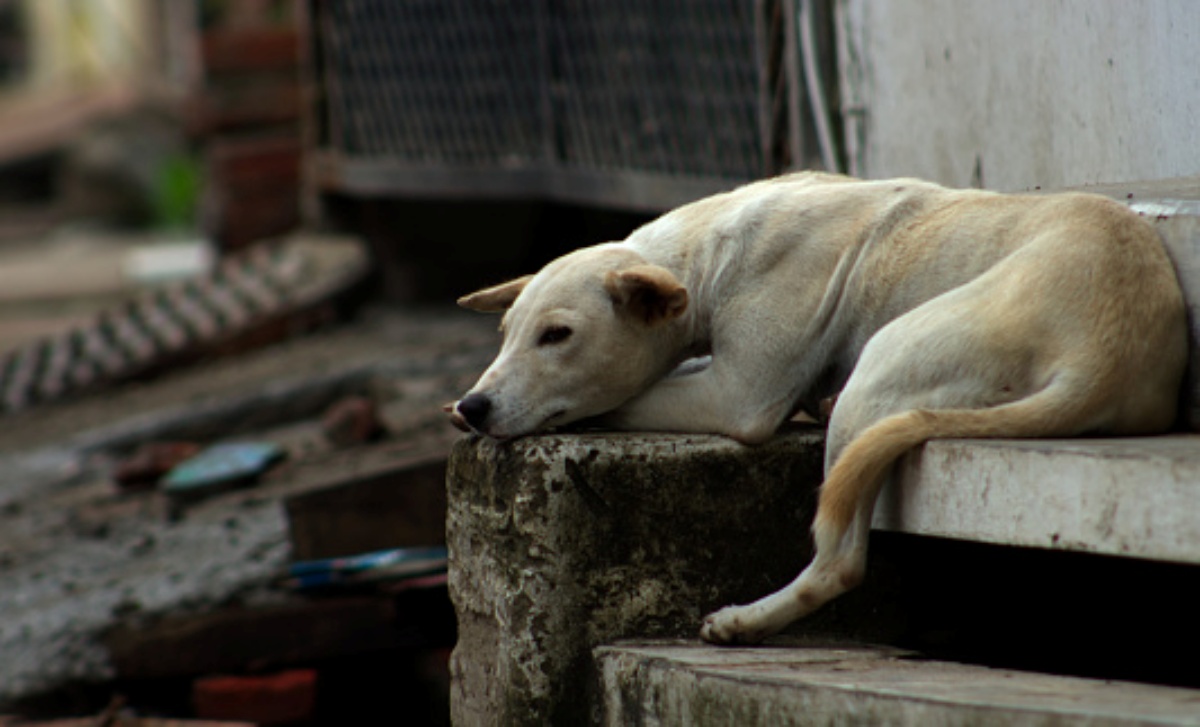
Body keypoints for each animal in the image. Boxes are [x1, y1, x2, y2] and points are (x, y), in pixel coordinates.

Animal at [446, 173, 1185, 647]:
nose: (474, 405)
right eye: (506, 331)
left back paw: (747, 620)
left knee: (842, 563)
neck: (706, 255)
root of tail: (1104, 358)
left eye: (558, 335)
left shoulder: (736, 393)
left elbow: (628, 398)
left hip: (880, 369)